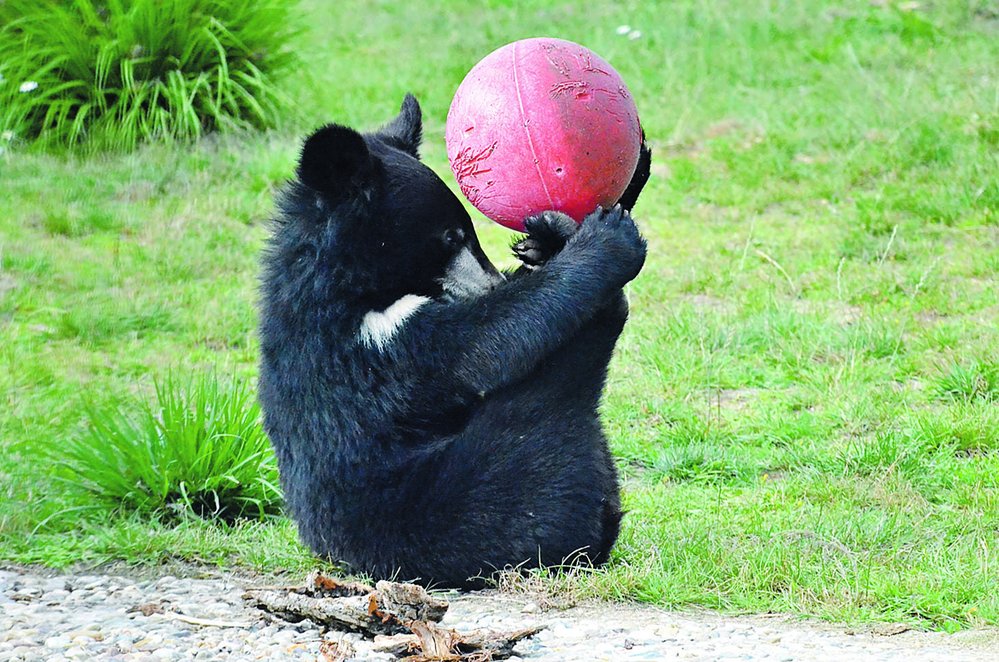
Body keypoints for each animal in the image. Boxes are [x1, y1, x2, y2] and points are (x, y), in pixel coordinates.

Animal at [260, 96, 648, 588]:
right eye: (450, 236)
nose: (490, 281)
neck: (348, 280)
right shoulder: (372, 345)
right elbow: (490, 337)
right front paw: (606, 237)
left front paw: (543, 238)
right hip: (472, 495)